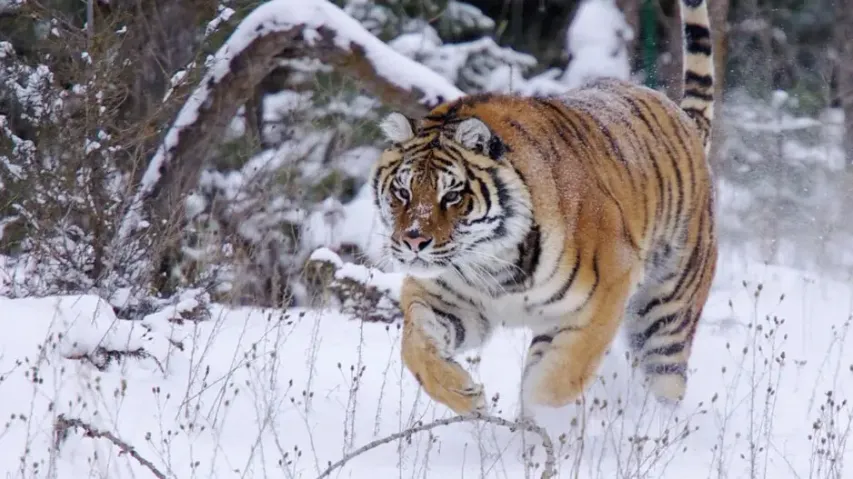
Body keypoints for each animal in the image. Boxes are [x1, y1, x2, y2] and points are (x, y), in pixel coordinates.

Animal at [369, 0, 718, 416]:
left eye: (451, 196)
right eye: (402, 192)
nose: (413, 241)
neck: (492, 264)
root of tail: (682, 116)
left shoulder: (606, 291)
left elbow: (558, 378)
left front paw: (540, 422)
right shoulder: (445, 298)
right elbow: (416, 347)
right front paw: (466, 396)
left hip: (665, 315)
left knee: (665, 385)